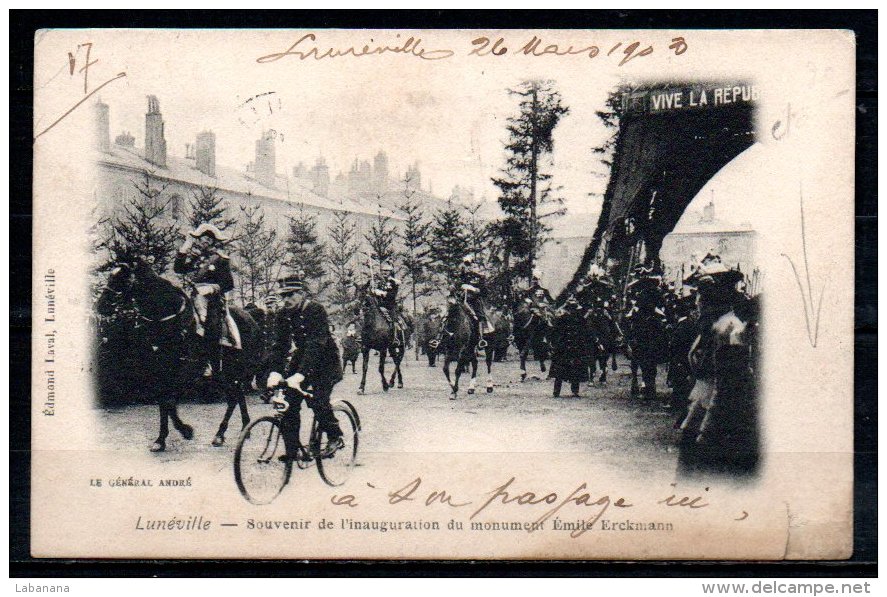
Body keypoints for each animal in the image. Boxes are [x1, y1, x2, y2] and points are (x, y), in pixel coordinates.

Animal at [99, 260, 264, 452]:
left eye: (122, 278)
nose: (100, 305)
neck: (169, 321)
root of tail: (251, 319)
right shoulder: (160, 371)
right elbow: (163, 401)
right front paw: (160, 439)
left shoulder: (185, 370)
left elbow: (169, 402)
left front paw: (186, 431)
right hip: (225, 371)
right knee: (237, 396)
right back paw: (242, 429)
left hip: (232, 370)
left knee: (233, 398)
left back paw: (221, 434)